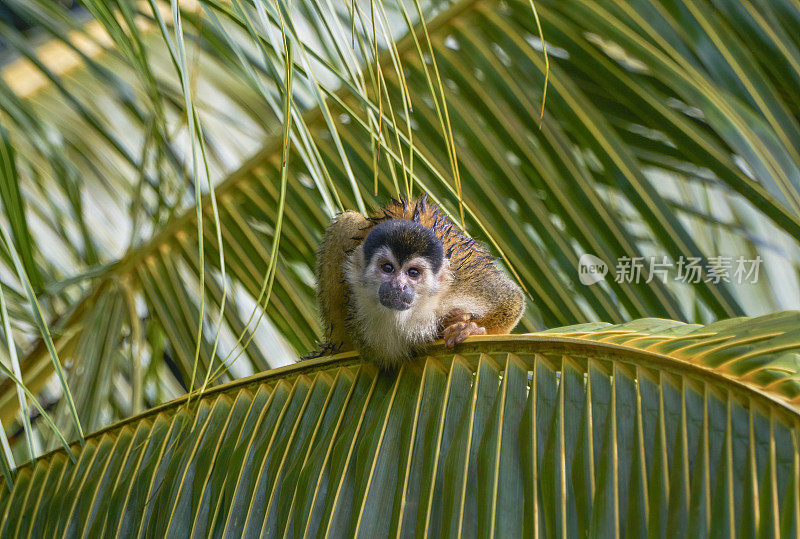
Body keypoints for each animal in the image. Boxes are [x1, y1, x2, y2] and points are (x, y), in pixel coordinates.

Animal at [312, 196, 524, 370]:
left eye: (413, 273)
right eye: (387, 268)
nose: (398, 286)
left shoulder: (468, 287)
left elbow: (513, 300)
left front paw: (470, 328)